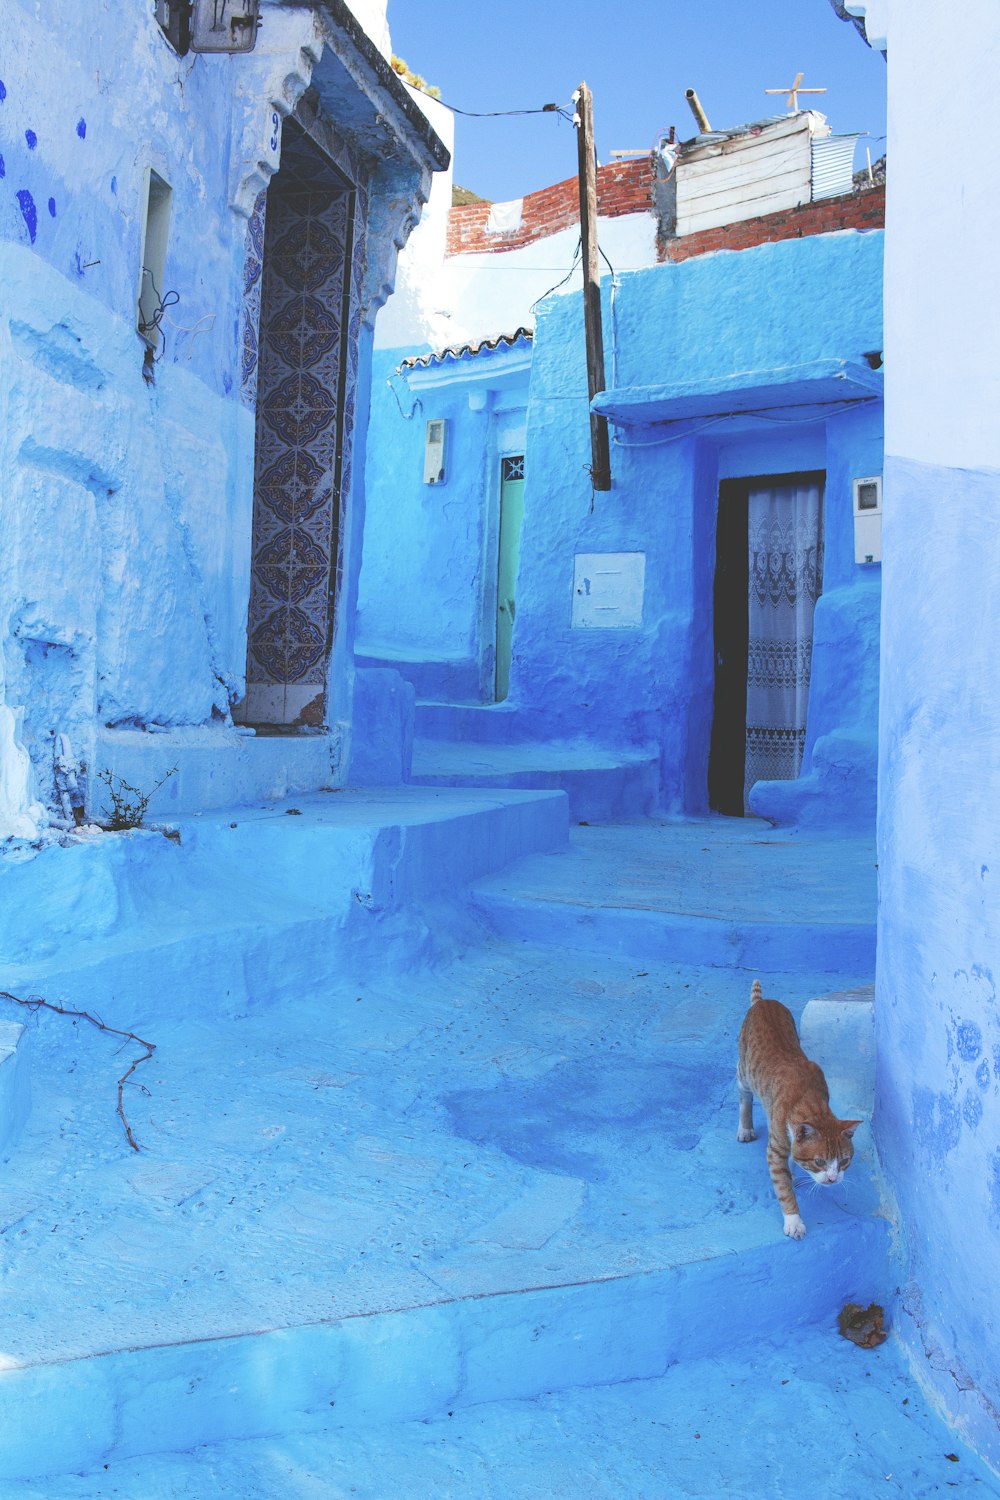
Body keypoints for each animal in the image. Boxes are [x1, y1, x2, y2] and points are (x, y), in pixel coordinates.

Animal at [734, 978, 863, 1236]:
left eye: (844, 1161)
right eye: (819, 1162)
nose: (832, 1179)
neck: (811, 1102)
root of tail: (763, 1002)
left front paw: (792, 1170)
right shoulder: (775, 1150)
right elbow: (783, 1188)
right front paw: (793, 1220)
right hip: (745, 1071)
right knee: (743, 1093)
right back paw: (745, 1127)